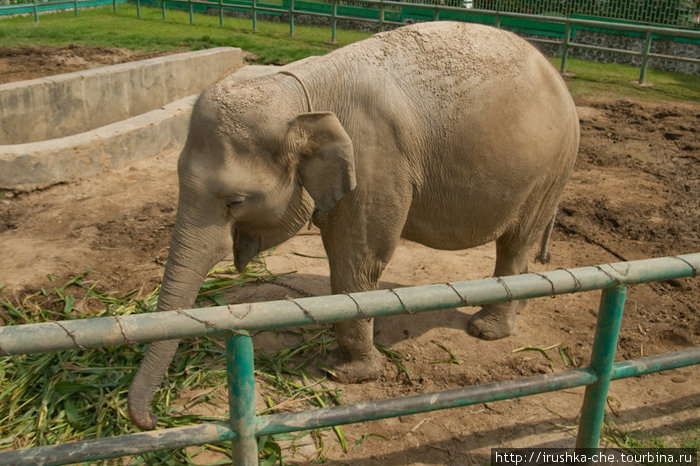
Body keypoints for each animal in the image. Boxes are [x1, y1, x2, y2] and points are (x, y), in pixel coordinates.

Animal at [127, 20, 580, 430]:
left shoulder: (375, 159)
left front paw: (346, 373)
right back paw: (517, 309)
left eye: (234, 202)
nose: (150, 421)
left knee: (515, 242)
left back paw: (487, 330)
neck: (298, 91)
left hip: (550, 170)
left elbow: (359, 258)